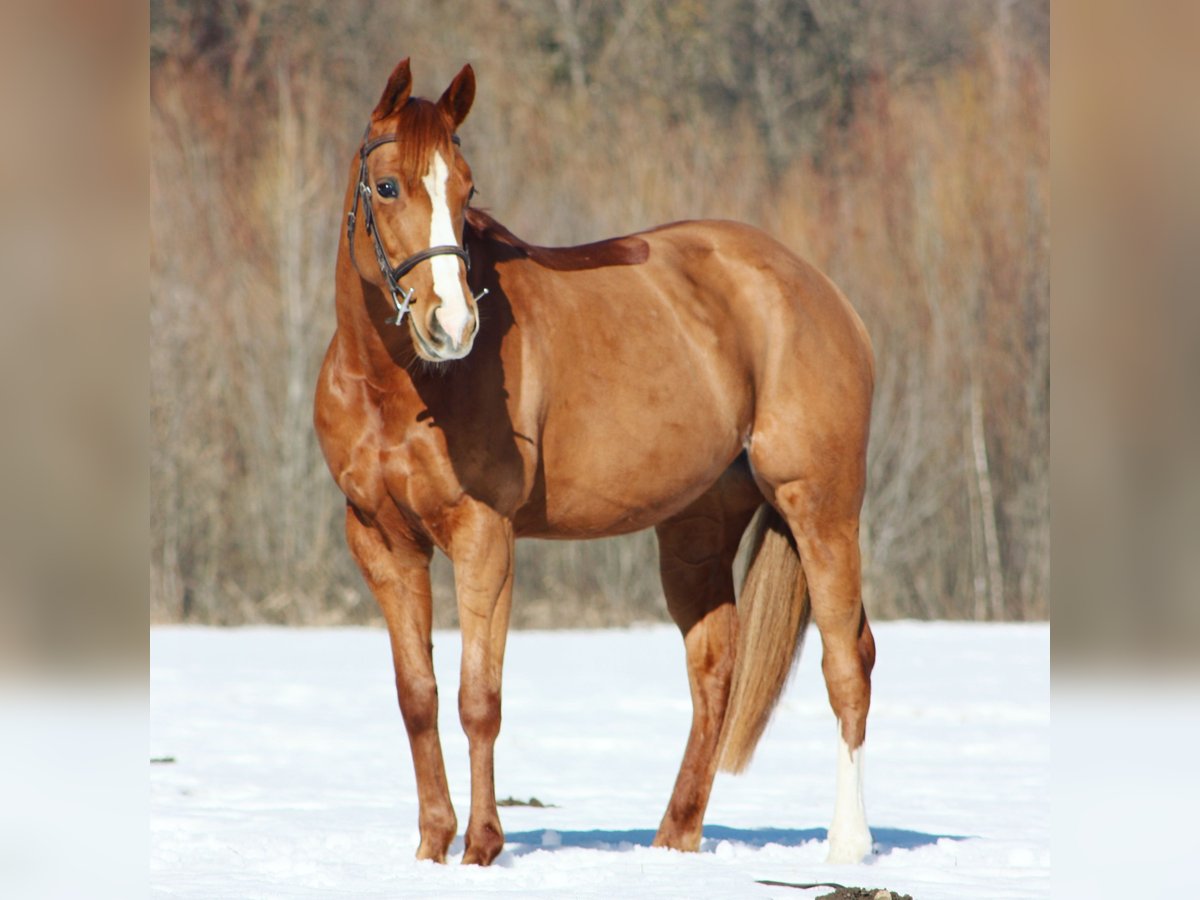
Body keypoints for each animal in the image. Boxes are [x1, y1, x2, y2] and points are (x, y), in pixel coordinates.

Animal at [314, 58, 877, 867]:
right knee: (716, 670)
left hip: (821, 506)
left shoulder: (484, 536)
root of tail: (821, 291)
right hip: (695, 533)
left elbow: (478, 698)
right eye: (387, 187)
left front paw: (481, 849)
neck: (398, 386)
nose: (452, 326)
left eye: (466, 189)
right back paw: (674, 840)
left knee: (847, 662)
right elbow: (418, 698)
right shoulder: (381, 541)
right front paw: (431, 847)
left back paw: (846, 845)